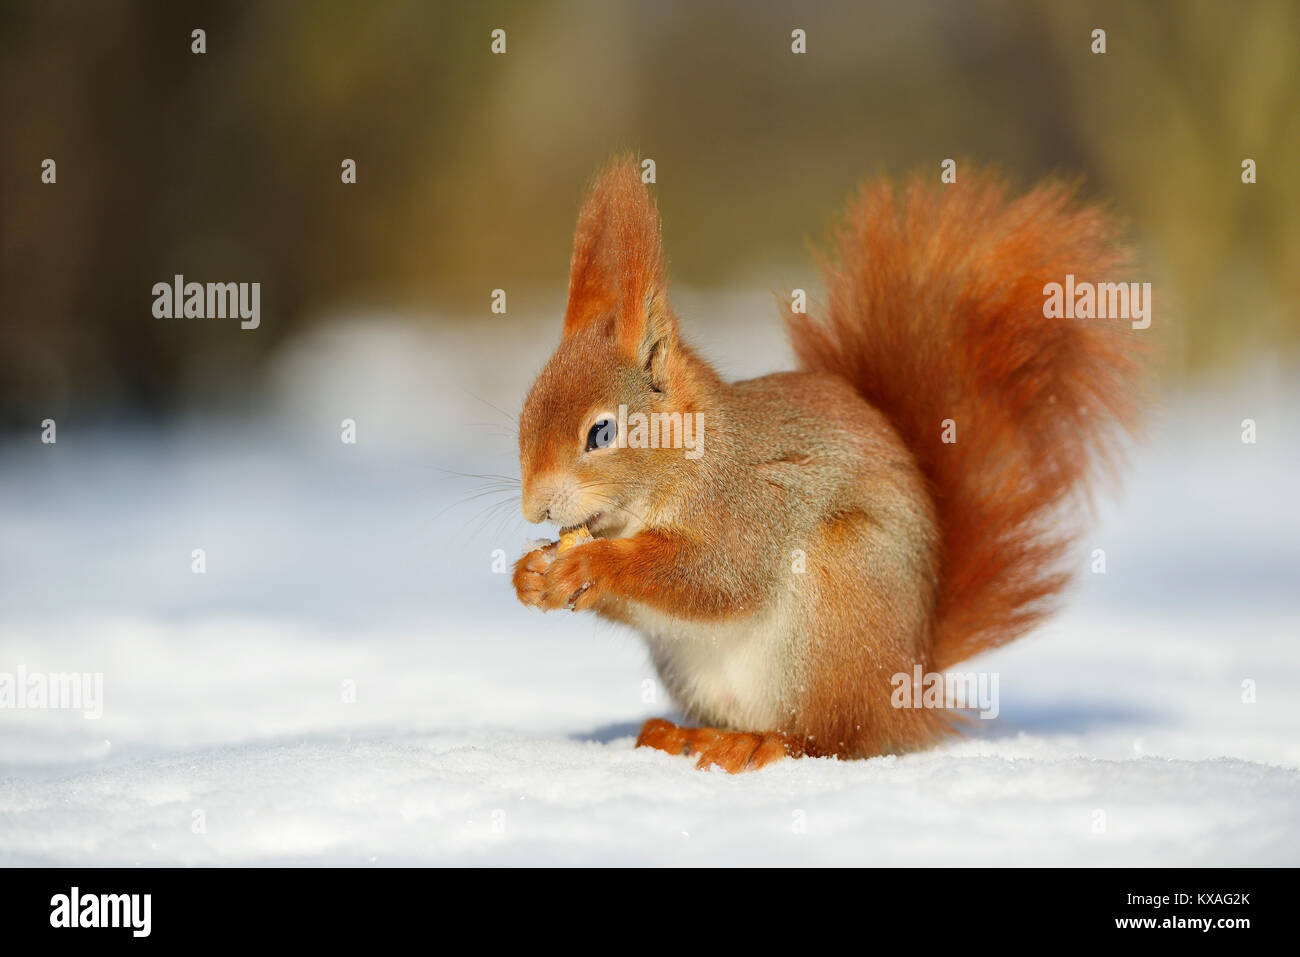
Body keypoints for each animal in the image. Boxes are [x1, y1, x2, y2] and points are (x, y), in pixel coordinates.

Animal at [512, 157, 1144, 769]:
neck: (688, 462)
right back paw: (683, 734)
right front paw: (530, 575)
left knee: (834, 738)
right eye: (524, 416)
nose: (534, 509)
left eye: (601, 431)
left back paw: (763, 745)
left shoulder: (750, 505)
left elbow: (716, 577)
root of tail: (909, 692)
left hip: (837, 600)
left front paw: (587, 564)